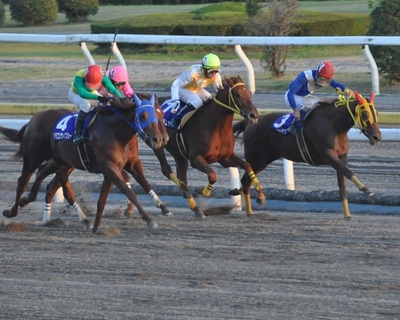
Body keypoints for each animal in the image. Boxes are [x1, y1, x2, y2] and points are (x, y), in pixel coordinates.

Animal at [154, 76, 266, 219]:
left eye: (250, 93)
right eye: (237, 94)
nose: (254, 115)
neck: (215, 127)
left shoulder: (225, 158)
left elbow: (247, 165)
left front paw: (259, 194)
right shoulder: (196, 158)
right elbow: (213, 175)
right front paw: (203, 191)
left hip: (178, 153)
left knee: (182, 178)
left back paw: (194, 206)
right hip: (157, 143)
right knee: (166, 170)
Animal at [234, 91, 382, 219]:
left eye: (376, 113)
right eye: (364, 114)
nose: (377, 137)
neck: (333, 126)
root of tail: (250, 122)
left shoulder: (342, 157)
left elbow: (343, 185)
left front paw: (347, 215)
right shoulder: (328, 155)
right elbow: (348, 172)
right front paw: (366, 190)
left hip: (264, 160)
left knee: (246, 181)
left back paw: (247, 206)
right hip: (256, 158)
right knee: (246, 180)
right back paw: (253, 203)